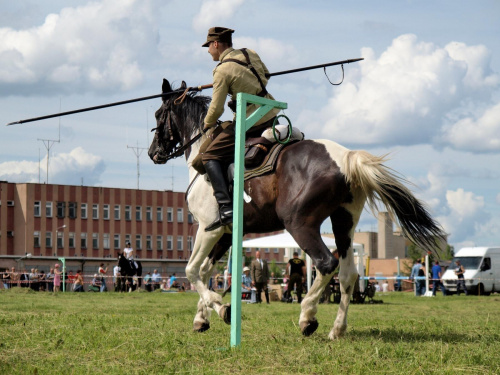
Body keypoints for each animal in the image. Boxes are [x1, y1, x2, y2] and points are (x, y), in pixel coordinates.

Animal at [146, 79, 444, 340]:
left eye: (159, 114)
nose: (153, 153)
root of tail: (346, 157)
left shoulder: (208, 229)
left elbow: (192, 270)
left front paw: (221, 308)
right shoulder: (225, 233)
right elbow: (206, 272)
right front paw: (202, 318)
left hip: (300, 224)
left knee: (327, 264)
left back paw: (307, 317)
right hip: (343, 222)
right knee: (348, 275)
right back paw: (337, 330)